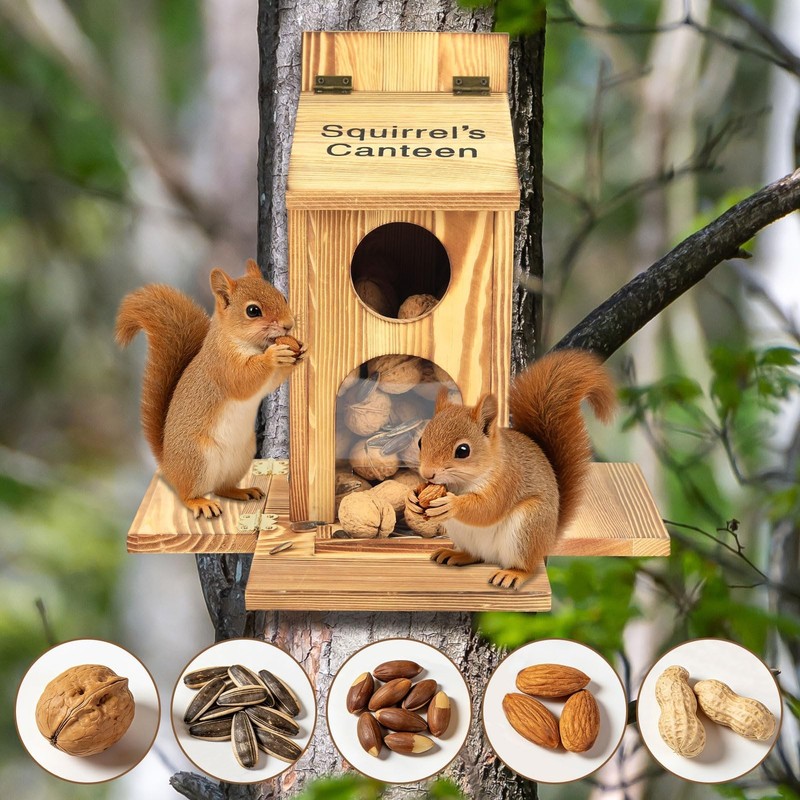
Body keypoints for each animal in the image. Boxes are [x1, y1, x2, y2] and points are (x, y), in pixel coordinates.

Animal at [116, 259, 303, 519]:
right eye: (253, 311)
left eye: (282, 297)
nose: (288, 325)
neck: (248, 344)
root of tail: (168, 465)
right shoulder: (223, 367)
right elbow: (244, 380)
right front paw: (274, 355)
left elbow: (271, 382)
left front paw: (299, 351)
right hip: (196, 459)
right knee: (187, 493)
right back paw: (200, 503)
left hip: (239, 458)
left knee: (222, 487)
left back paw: (242, 491)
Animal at [405, 349, 616, 590]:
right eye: (421, 442)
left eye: (463, 451)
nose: (427, 473)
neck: (462, 483)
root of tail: (548, 540)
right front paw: (412, 498)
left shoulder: (507, 480)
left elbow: (488, 508)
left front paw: (452, 504)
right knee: (476, 555)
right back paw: (456, 555)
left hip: (527, 528)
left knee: (526, 566)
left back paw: (513, 574)